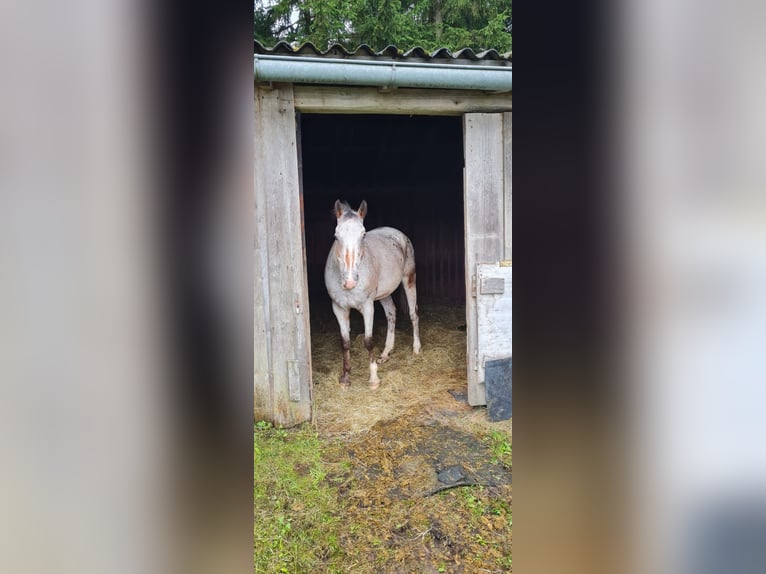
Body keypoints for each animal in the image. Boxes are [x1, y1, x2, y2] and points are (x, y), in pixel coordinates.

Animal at [322, 200, 424, 390]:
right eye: (336, 235)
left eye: (363, 235)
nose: (350, 282)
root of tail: (398, 234)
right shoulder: (339, 308)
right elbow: (345, 342)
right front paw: (345, 378)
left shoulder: (368, 306)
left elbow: (368, 341)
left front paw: (374, 379)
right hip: (384, 293)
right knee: (391, 313)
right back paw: (385, 353)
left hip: (409, 280)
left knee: (414, 314)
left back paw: (416, 348)